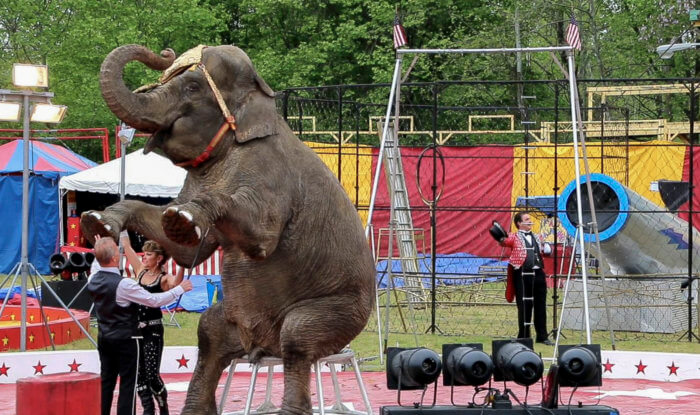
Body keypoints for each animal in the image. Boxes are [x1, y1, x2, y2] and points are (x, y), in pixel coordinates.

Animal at [80, 44, 378, 414]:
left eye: (193, 87)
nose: (165, 52)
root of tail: (264, 349)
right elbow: (188, 251)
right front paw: (99, 221)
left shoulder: (272, 175)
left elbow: (261, 238)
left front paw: (182, 218)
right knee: (209, 333)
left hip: (342, 312)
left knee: (297, 337)